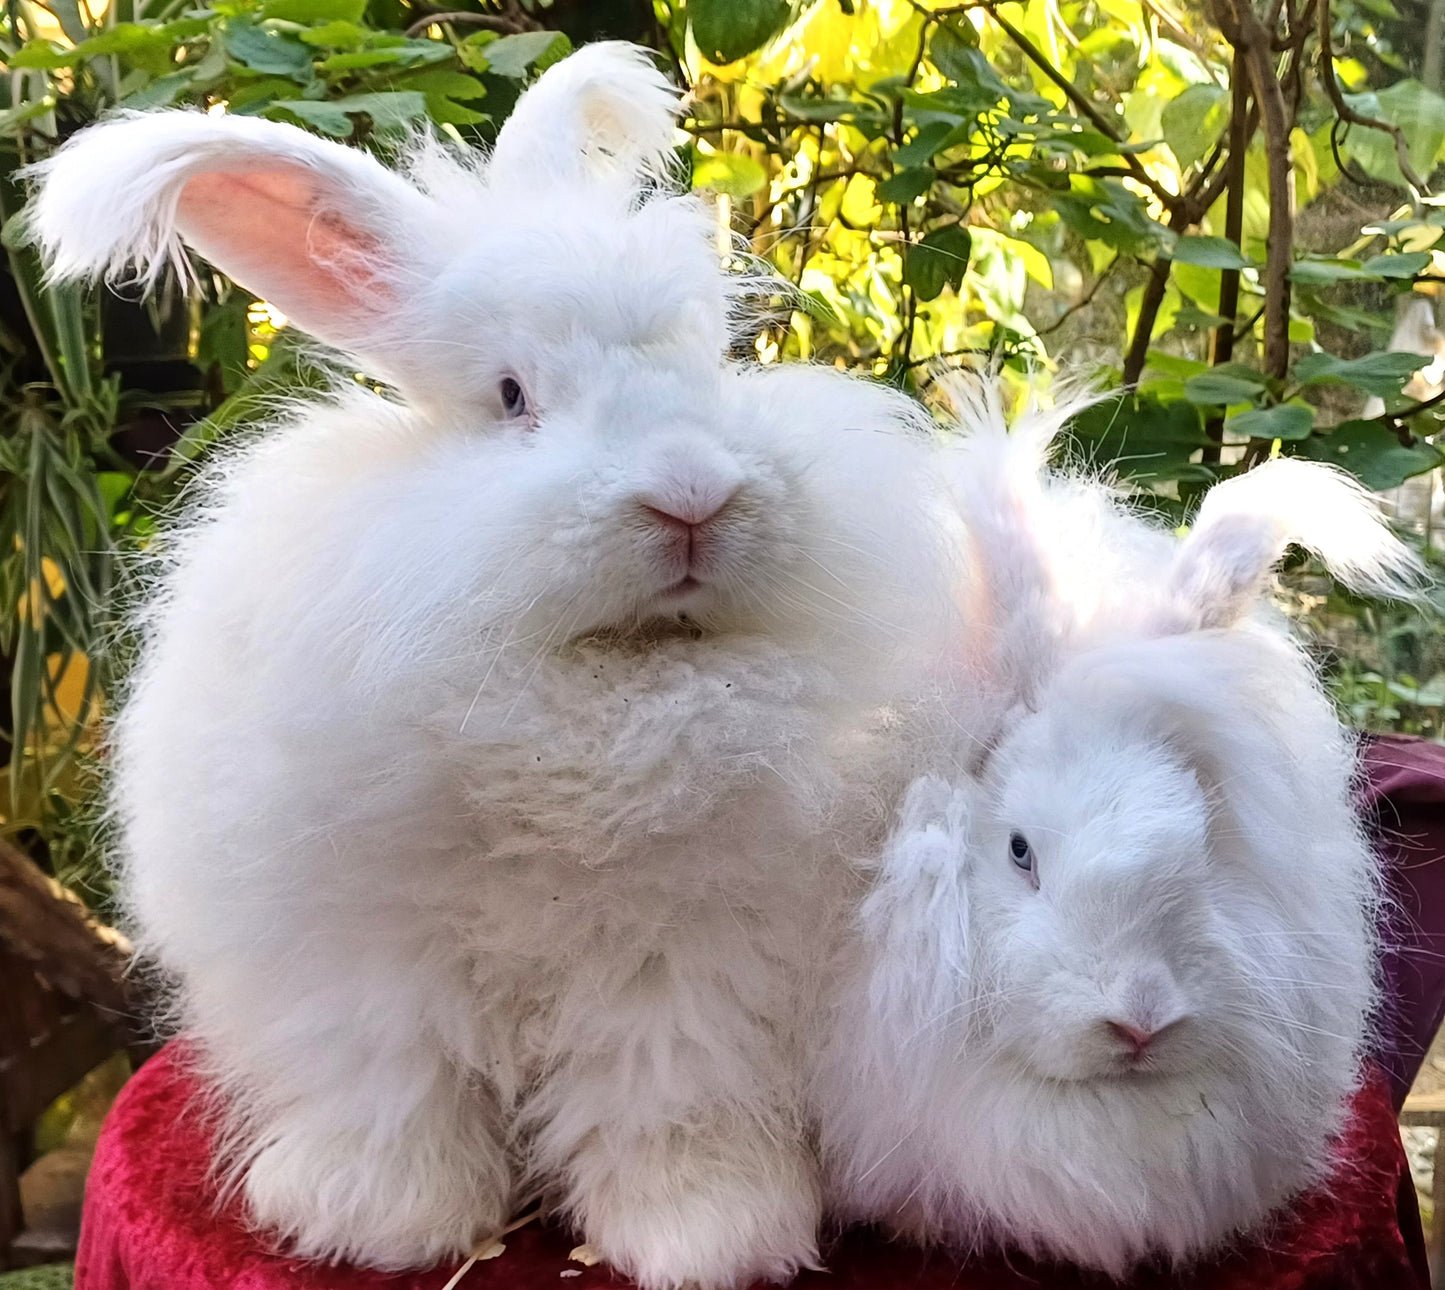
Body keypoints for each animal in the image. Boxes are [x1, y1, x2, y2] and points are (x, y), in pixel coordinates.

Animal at [25, 40, 959, 1288]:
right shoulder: (371, 964)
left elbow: (668, 1105)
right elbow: (397, 1091)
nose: (693, 499)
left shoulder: (687, 971)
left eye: (705, 372)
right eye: (513, 397)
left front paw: (708, 1236)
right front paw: (373, 1221)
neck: (591, 689)